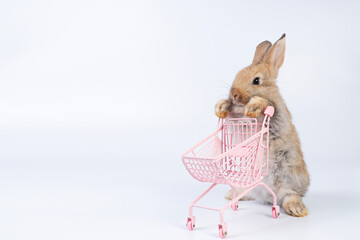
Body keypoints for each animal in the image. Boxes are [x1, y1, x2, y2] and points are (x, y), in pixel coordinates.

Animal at [215, 34, 310, 218]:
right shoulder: (239, 124)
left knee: (290, 195)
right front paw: (221, 107)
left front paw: (253, 107)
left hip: (289, 178)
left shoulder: (277, 115)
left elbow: (264, 104)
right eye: (237, 75)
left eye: (256, 80)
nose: (234, 94)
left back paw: (297, 209)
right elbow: (232, 115)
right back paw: (232, 195)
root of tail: (267, 197)